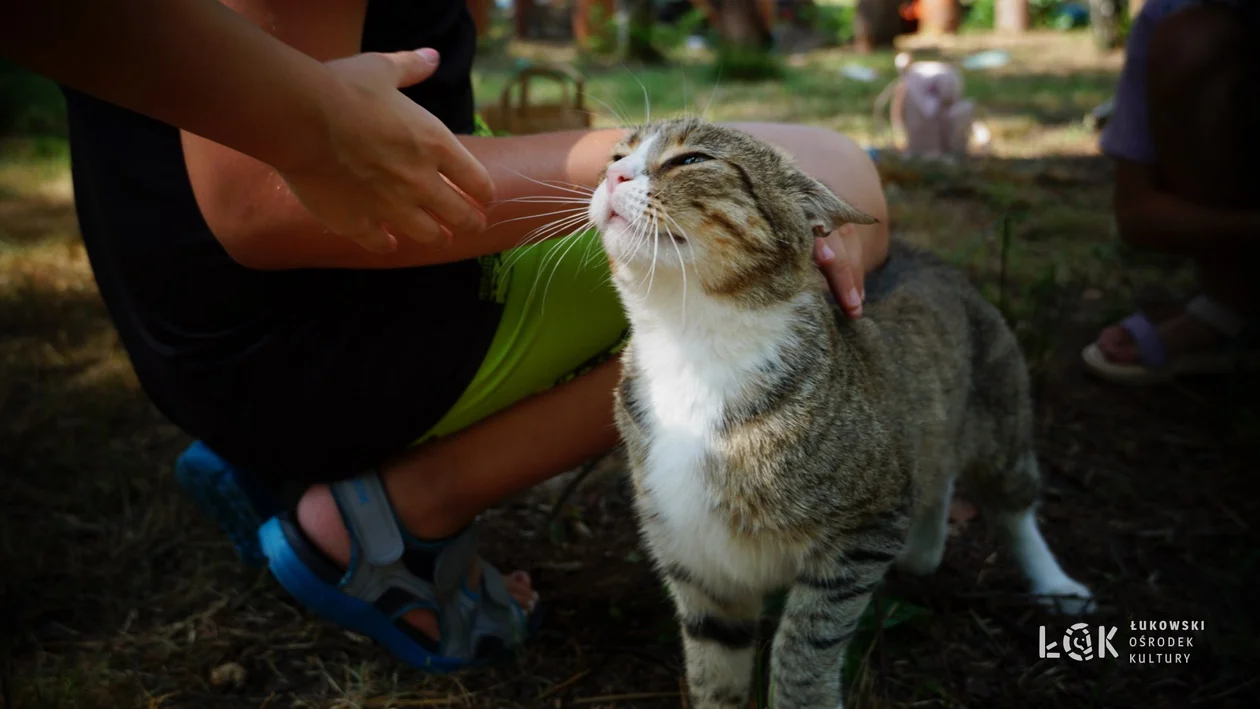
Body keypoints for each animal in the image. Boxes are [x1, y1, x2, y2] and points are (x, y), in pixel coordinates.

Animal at [587, 119, 1093, 705]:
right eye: (616, 154)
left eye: (691, 160)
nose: (614, 174)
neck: (688, 344)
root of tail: (920, 252)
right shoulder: (693, 556)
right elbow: (714, 668)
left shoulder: (866, 528)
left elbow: (805, 643)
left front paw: (801, 692)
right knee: (935, 464)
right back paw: (924, 549)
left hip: (1001, 416)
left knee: (1013, 506)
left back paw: (1055, 584)